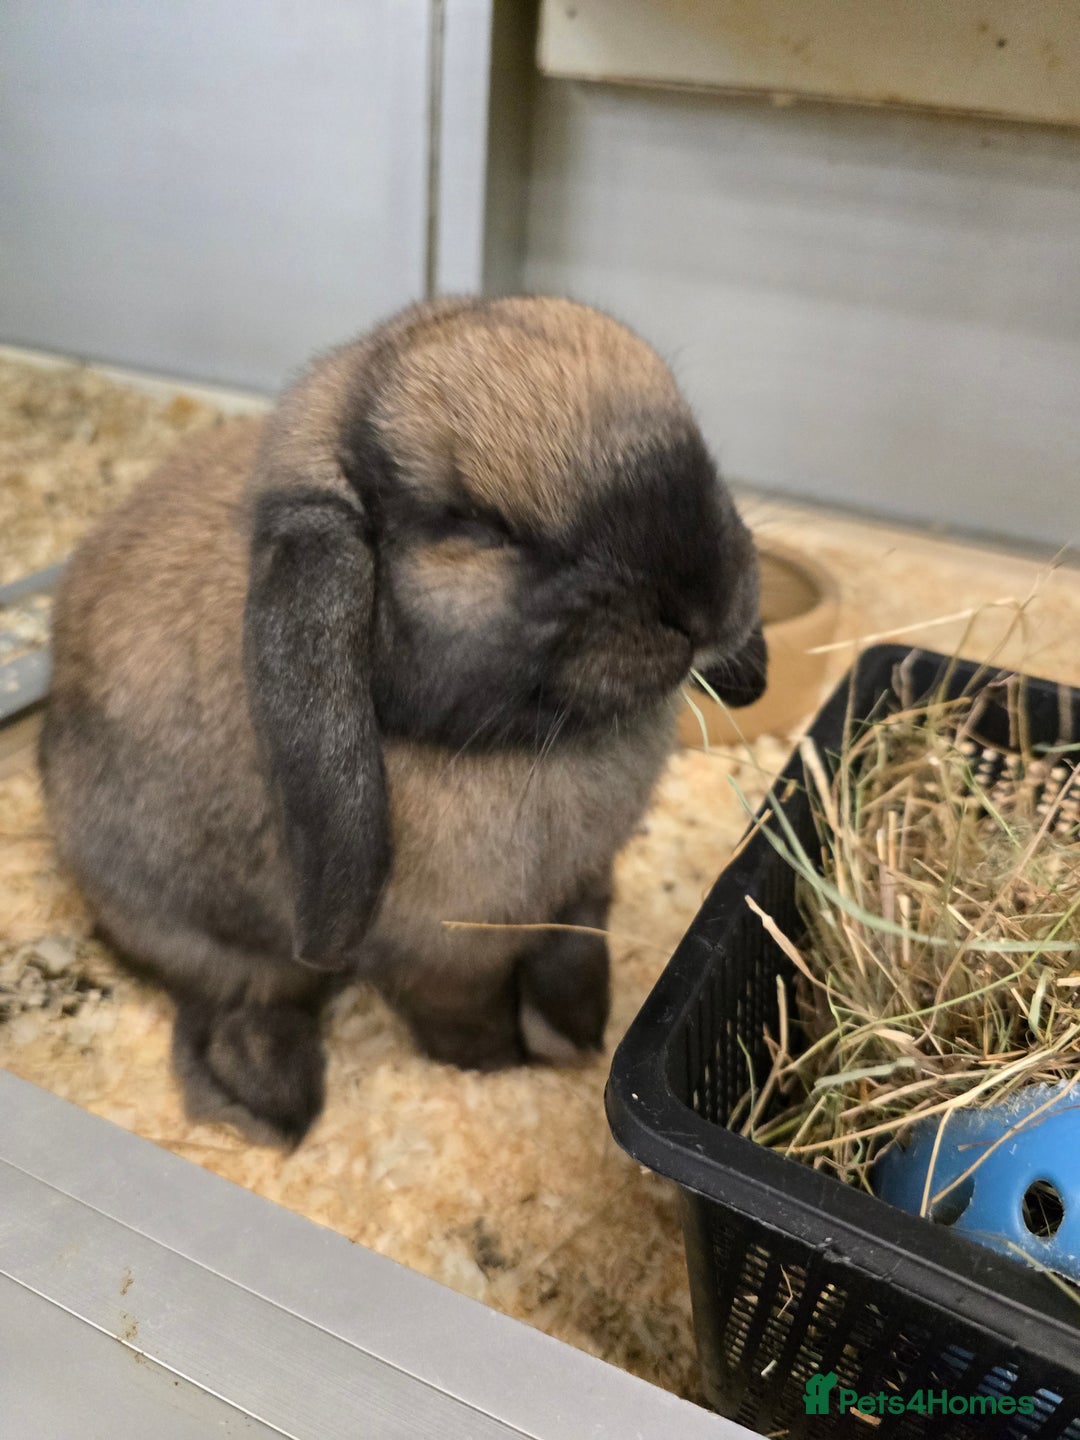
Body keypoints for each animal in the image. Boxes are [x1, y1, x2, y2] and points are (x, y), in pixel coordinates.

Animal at [40, 295, 767, 1146]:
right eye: (476, 524)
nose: (705, 601)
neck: (521, 742)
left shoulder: (585, 890)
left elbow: (573, 957)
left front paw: (578, 1035)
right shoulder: (440, 955)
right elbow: (465, 1019)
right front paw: (497, 1070)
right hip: (184, 922)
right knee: (242, 993)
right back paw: (267, 1099)